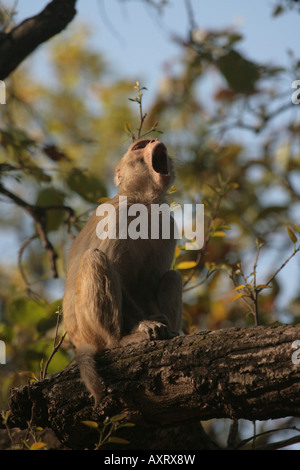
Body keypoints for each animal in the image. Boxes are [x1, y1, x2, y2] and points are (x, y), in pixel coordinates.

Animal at [62, 139, 182, 404]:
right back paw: (119, 340)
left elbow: (149, 283)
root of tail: (78, 339)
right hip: (88, 328)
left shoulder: (167, 224)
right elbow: (117, 273)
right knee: (95, 258)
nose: (155, 141)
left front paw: (160, 322)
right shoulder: (118, 217)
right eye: (140, 145)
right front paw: (144, 326)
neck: (145, 204)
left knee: (172, 276)